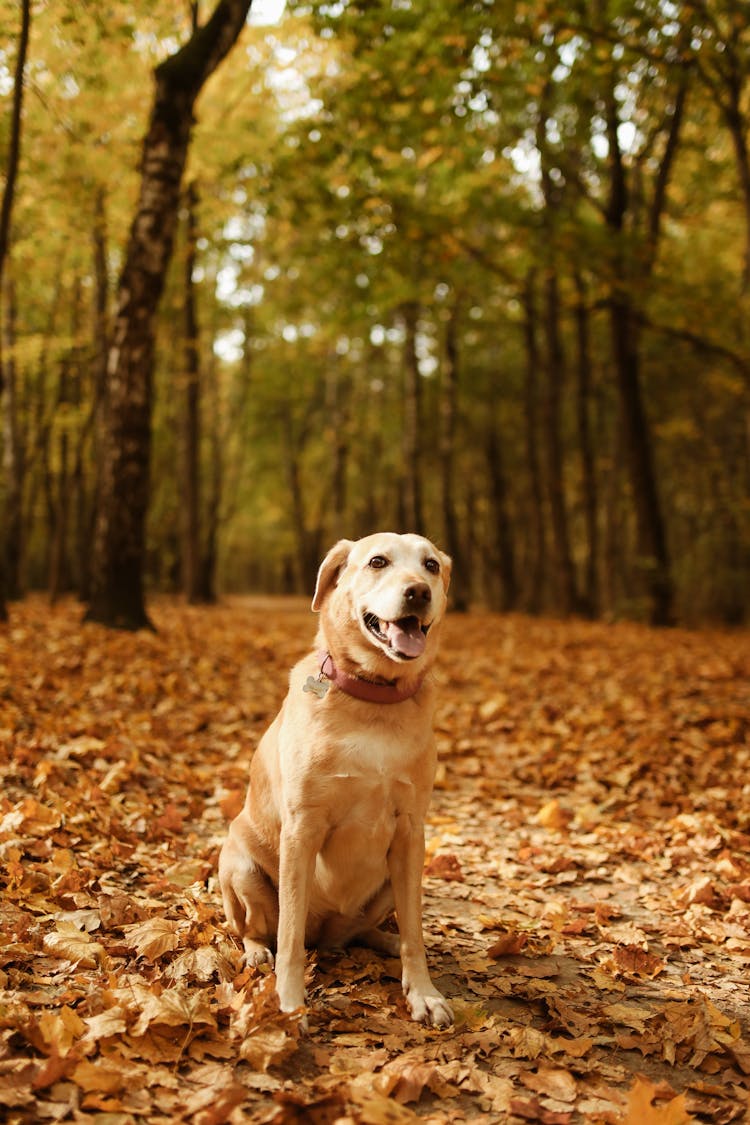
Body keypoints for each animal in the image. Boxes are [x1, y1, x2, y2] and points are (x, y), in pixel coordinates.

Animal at [217, 531, 452, 1026]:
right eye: (378, 562)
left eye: (430, 566)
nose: (418, 592)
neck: (375, 700)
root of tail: (323, 937)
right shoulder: (303, 828)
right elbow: (287, 938)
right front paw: (289, 1003)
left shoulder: (410, 831)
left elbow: (415, 930)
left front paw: (422, 990)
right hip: (241, 869)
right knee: (257, 929)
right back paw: (256, 952)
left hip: (390, 881)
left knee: (368, 930)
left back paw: (385, 941)